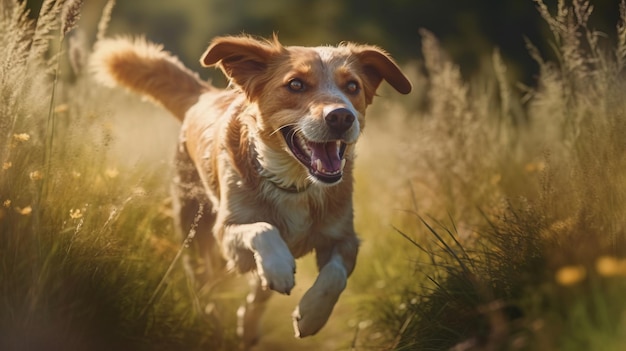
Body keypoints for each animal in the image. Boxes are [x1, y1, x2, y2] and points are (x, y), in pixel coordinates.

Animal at [89, 34, 410, 348]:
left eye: (352, 86)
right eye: (296, 84)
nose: (342, 117)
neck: (293, 182)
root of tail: (205, 95)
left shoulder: (345, 237)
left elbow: (335, 276)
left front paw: (311, 314)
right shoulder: (227, 232)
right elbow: (263, 229)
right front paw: (279, 266)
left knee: (259, 292)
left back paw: (250, 324)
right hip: (194, 234)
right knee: (206, 286)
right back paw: (215, 318)